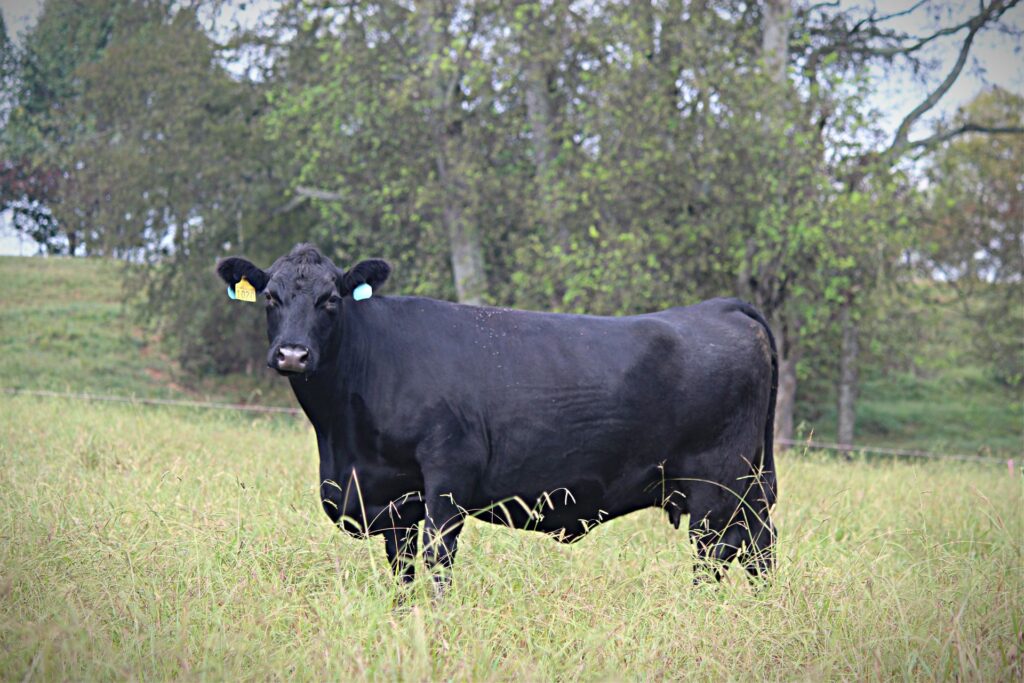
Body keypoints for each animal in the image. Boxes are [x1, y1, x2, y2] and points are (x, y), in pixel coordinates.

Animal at [217, 244, 778, 594]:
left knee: (715, 559)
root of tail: (719, 307)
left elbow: (437, 562)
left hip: (714, 486)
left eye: (330, 300)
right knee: (761, 549)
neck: (342, 442)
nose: (293, 354)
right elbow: (402, 571)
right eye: (271, 297)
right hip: (751, 486)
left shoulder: (447, 477)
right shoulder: (394, 497)